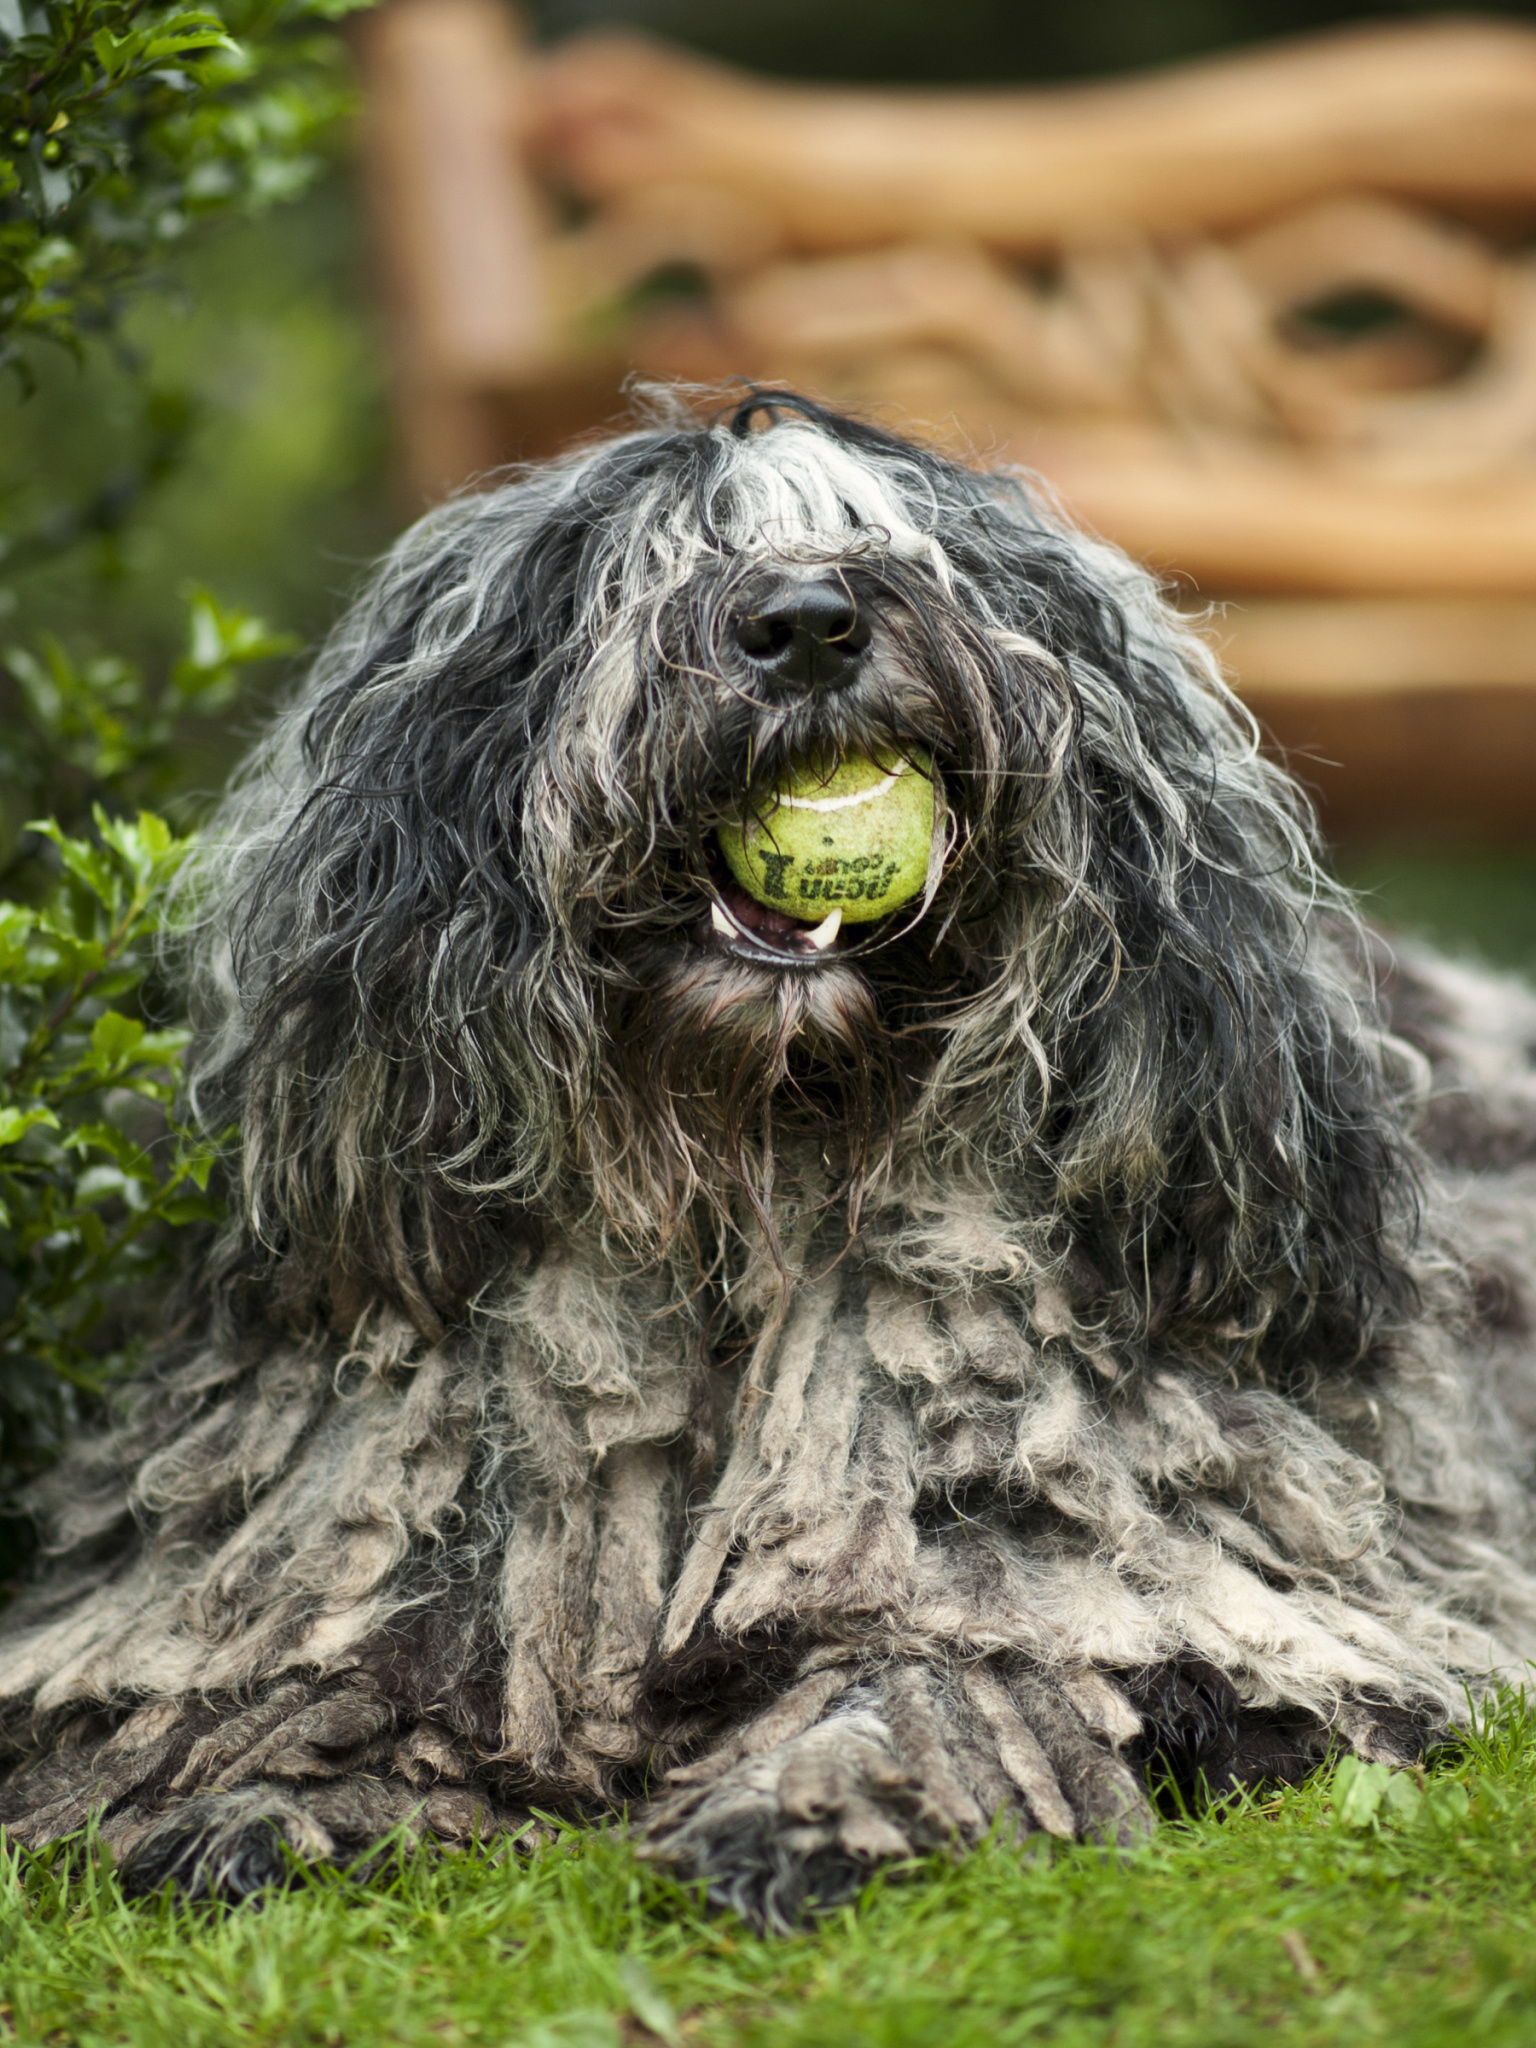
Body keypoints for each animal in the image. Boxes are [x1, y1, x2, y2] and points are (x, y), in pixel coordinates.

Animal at [3, 391, 1536, 1925]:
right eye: (639, 565)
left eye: (900, 543)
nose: (806, 623)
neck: (751, 1154)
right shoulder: (385, 1538)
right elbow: (303, 1672)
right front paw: (248, 1804)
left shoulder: (1096, 1560)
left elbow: (945, 1665)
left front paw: (806, 1805)